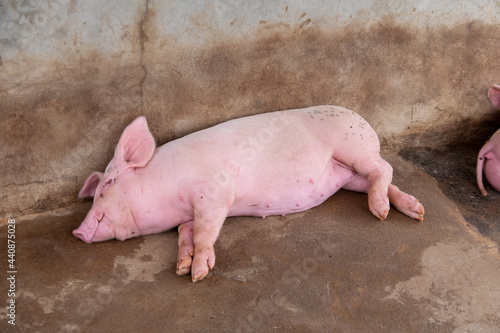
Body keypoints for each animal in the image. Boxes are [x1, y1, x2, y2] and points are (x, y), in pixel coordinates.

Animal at [73, 105, 426, 280]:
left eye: (107, 185)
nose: (77, 231)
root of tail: (362, 119)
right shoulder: (187, 217)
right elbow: (186, 234)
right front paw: (182, 266)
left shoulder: (216, 193)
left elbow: (205, 232)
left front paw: (198, 274)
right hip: (347, 176)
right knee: (380, 180)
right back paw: (416, 211)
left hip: (353, 147)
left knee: (384, 168)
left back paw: (380, 212)